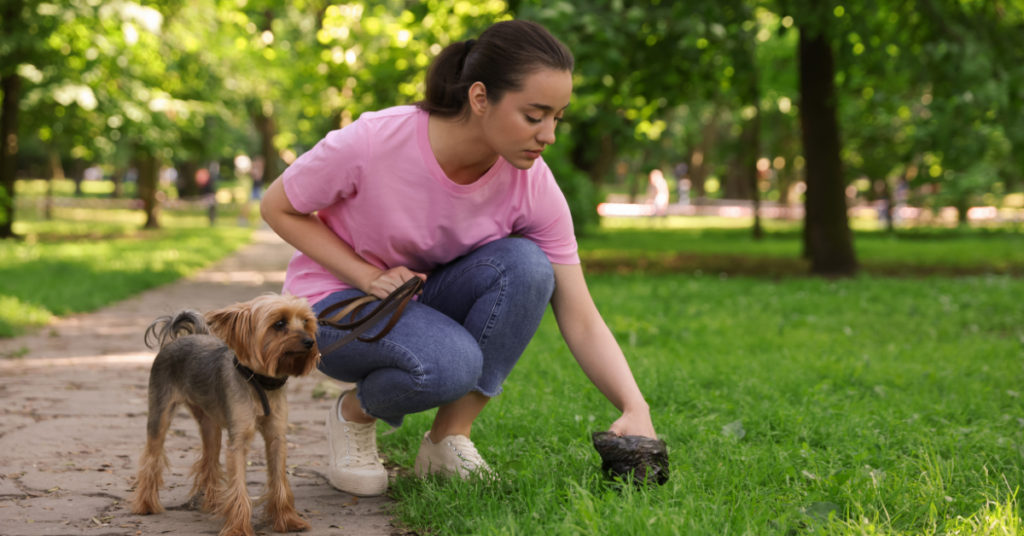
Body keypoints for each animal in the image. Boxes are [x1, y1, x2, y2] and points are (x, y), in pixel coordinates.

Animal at [131, 295, 319, 536]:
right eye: (279, 324)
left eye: (305, 322)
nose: (309, 342)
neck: (258, 381)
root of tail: (181, 338)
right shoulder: (238, 441)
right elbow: (239, 484)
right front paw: (238, 528)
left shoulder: (277, 437)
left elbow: (279, 479)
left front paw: (287, 520)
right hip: (160, 414)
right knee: (152, 457)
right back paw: (145, 504)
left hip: (210, 423)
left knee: (209, 459)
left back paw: (212, 504)